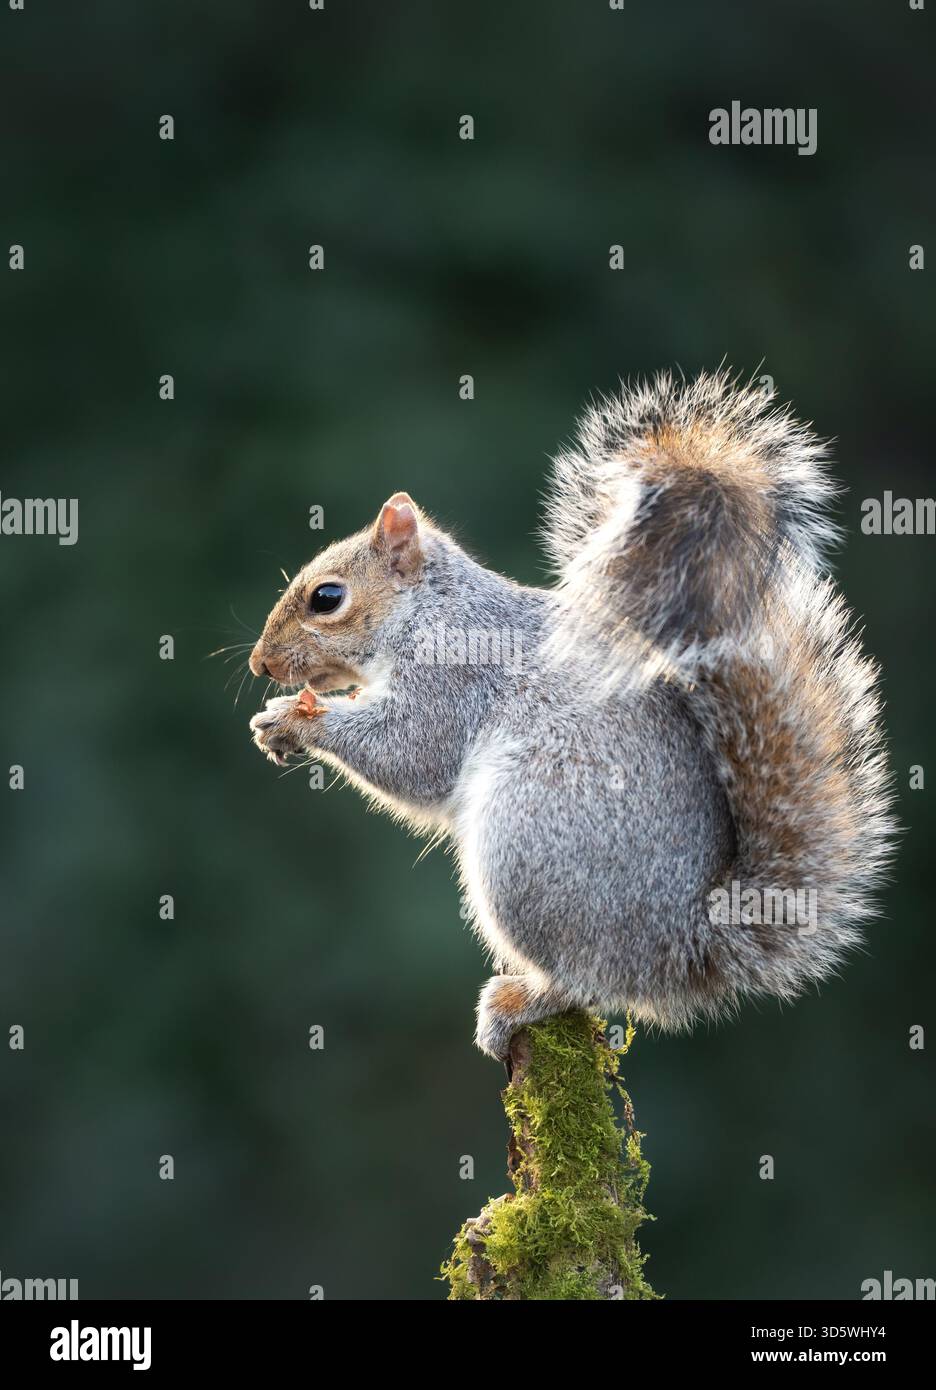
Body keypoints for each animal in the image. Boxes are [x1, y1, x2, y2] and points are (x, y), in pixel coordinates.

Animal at [248, 371, 896, 1060]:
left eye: (327, 597)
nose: (260, 664)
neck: (427, 611)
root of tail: (684, 947)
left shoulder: (455, 678)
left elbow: (413, 753)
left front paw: (294, 719)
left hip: (526, 843)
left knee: (586, 980)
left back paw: (521, 1000)